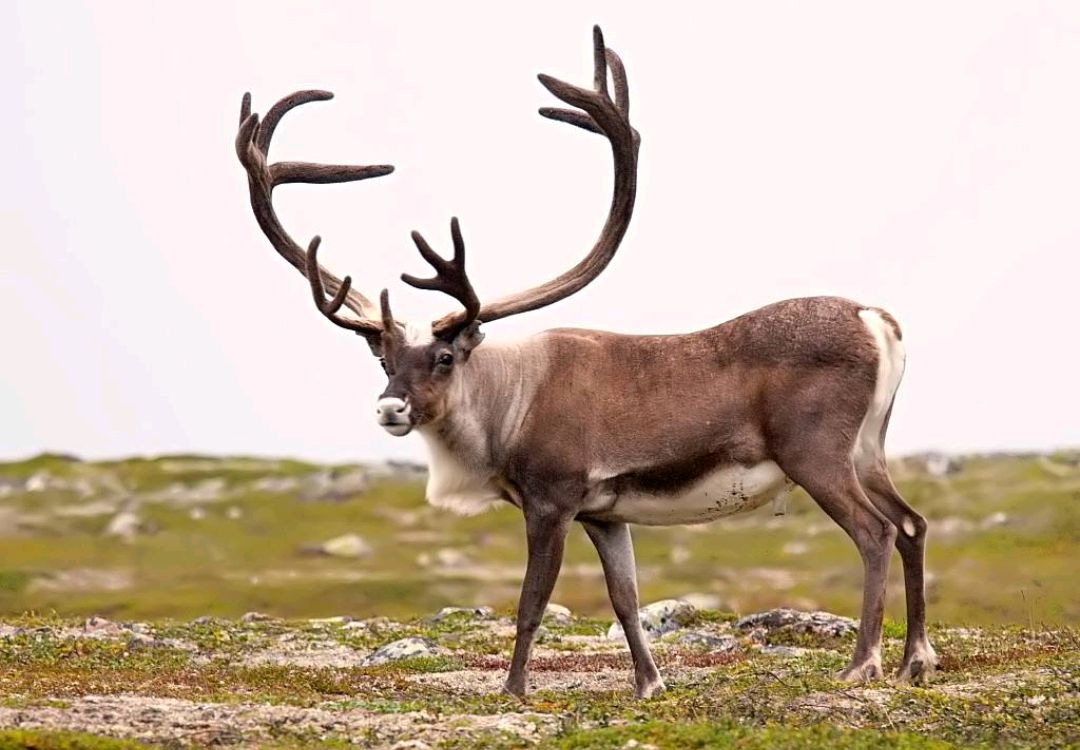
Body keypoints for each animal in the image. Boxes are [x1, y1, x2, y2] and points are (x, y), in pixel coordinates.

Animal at [234, 26, 937, 699]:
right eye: (382, 357)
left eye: (444, 355)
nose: (389, 407)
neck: (507, 407)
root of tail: (876, 319)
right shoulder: (605, 513)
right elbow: (625, 599)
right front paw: (649, 683)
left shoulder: (553, 499)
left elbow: (531, 603)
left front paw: (513, 688)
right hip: (868, 449)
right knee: (912, 523)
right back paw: (915, 661)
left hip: (814, 453)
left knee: (875, 532)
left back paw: (863, 665)